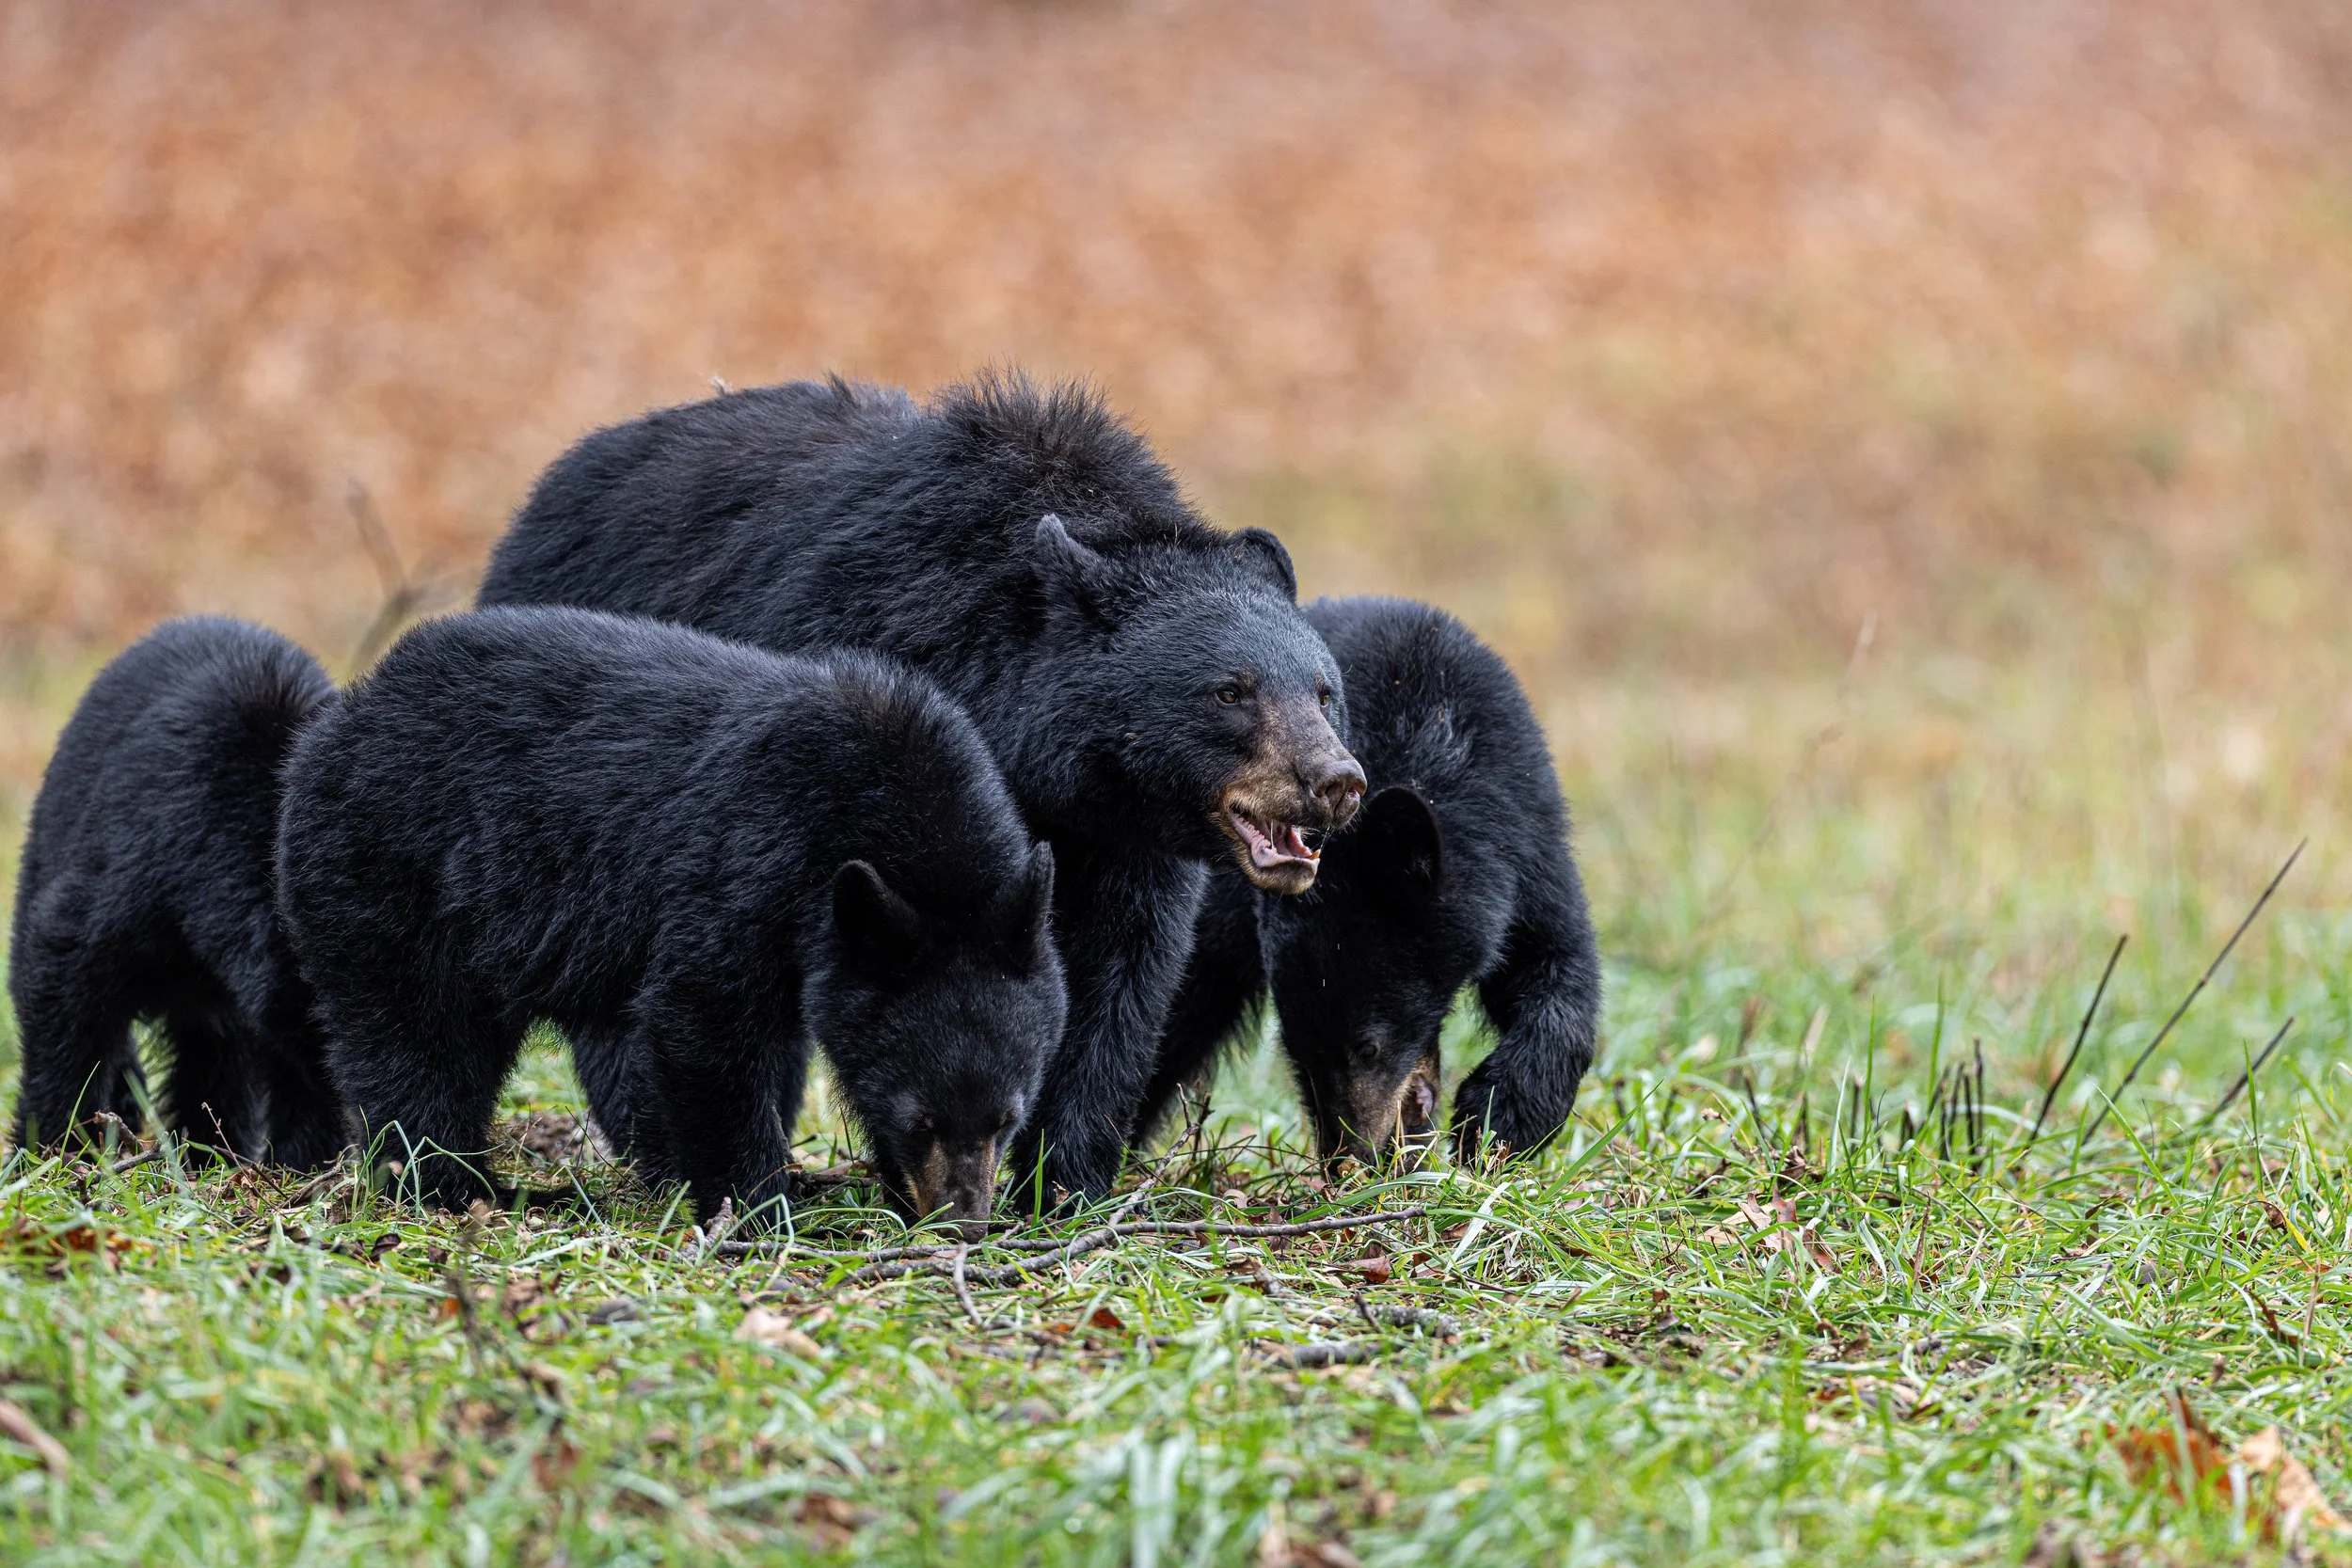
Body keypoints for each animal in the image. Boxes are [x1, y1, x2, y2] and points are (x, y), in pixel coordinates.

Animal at [273, 606, 1065, 1232]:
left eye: (1007, 1117)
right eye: (922, 1117)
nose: (966, 1221)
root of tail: (335, 723)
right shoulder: (750, 860)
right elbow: (703, 1021)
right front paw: (757, 1205)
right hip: (390, 876)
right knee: (417, 1043)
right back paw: (461, 1185)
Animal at [477, 372, 1364, 1205]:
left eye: (1323, 692)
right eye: (1230, 691)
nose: (1335, 782)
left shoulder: (1124, 836)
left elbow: (1118, 977)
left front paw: (1062, 1184)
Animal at [1135, 596, 1603, 1167]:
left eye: (1369, 1045)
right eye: (1300, 1048)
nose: (1352, 1158)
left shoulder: (1530, 838)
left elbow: (1558, 960)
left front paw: (1499, 1119)